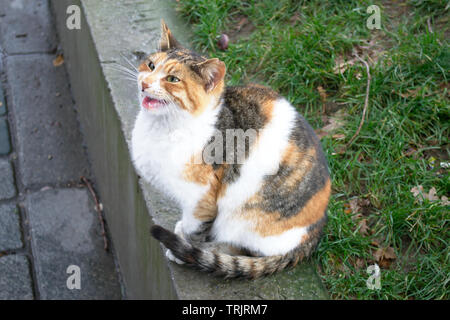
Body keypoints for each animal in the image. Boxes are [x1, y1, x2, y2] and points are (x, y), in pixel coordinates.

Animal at [130, 21, 330, 278]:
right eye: (151, 65)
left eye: (173, 79)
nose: (145, 83)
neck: (162, 126)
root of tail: (315, 233)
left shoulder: (201, 199)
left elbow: (195, 231)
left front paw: (182, 246)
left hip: (245, 218)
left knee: (243, 249)